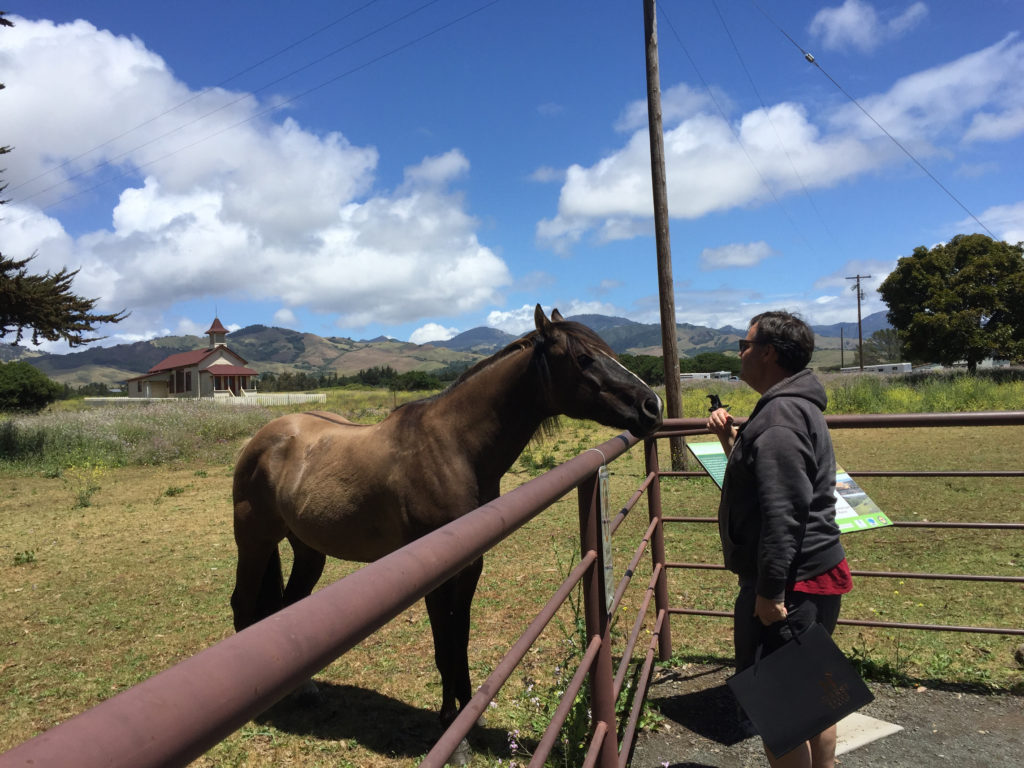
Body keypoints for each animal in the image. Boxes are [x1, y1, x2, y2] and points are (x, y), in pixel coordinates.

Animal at [230, 305, 663, 729]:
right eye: (583, 357)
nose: (652, 406)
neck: (454, 447)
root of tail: (261, 438)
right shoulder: (434, 574)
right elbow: (443, 644)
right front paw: (449, 720)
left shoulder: (470, 564)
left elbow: (460, 637)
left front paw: (468, 714)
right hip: (255, 542)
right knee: (243, 604)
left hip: (308, 549)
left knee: (287, 605)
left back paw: (305, 691)